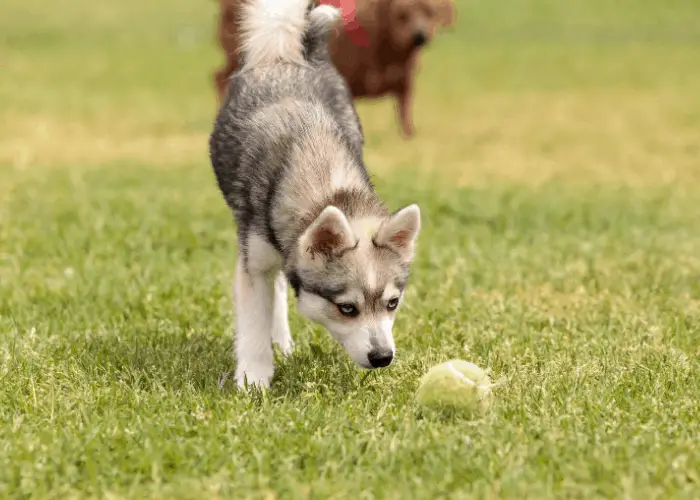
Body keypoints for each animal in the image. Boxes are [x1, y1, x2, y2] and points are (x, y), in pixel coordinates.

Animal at [208, 0, 422, 388]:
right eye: (347, 308)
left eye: (392, 303)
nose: (383, 357)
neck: (326, 182)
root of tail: (287, 56)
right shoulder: (254, 261)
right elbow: (255, 320)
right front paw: (254, 379)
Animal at [212, 0, 454, 137]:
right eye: (402, 14)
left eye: (431, 12)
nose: (420, 36)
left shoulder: (406, 82)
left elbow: (406, 116)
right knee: (219, 78)